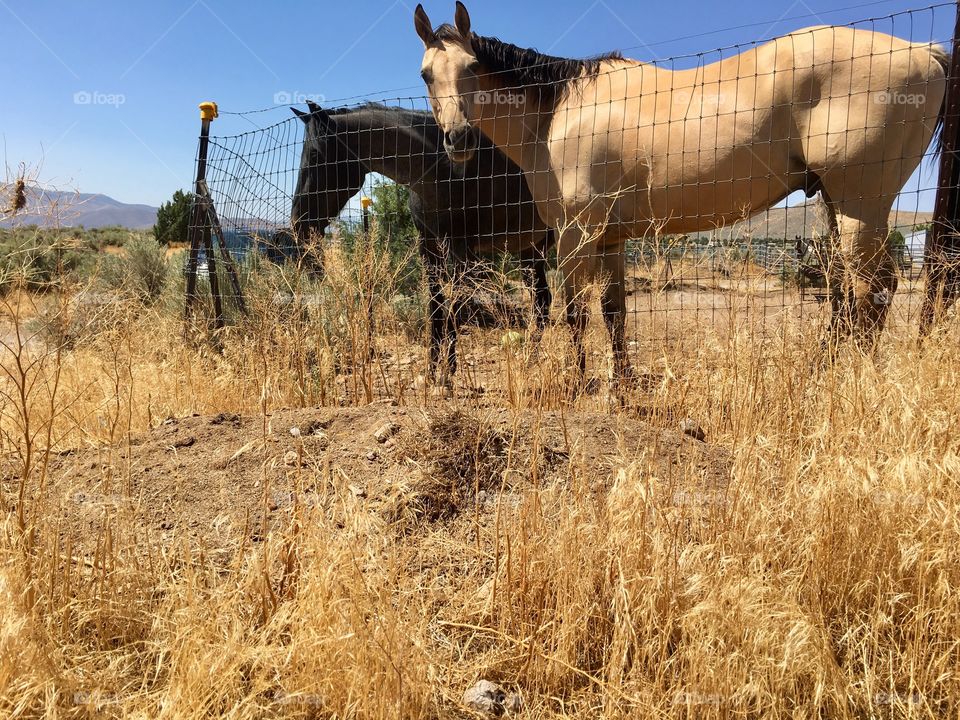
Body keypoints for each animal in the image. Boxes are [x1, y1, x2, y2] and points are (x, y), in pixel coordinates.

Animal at [288, 102, 552, 382]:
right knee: (542, 301)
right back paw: (530, 358)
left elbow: (454, 308)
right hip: (531, 250)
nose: (297, 224)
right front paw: (433, 368)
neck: (442, 169)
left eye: (314, 155)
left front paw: (447, 371)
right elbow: (435, 306)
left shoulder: (461, 251)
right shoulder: (428, 245)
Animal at [410, 2, 944, 386]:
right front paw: (620, 383)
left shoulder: (576, 235)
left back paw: (848, 376)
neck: (558, 111)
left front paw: (577, 384)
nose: (458, 139)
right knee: (848, 292)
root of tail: (925, 51)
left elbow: (575, 312)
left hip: (860, 206)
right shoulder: (611, 237)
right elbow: (614, 312)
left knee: (871, 289)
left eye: (472, 66)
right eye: (426, 74)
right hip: (836, 204)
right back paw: (827, 367)